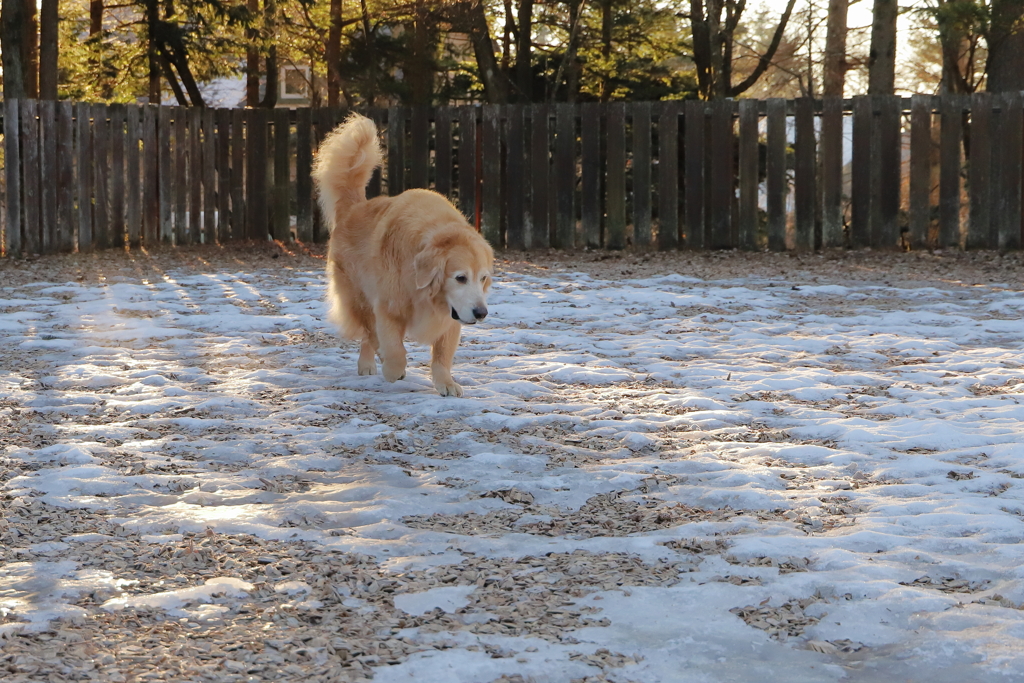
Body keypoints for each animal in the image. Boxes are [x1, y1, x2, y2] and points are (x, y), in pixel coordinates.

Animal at [313, 114, 493, 397]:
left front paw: (446, 382)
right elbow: (393, 347)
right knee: (369, 333)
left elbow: (442, 354)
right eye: (460, 278)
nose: (481, 313)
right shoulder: (388, 306)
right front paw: (393, 368)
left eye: (483, 278)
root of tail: (355, 207)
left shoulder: (451, 316)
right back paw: (371, 361)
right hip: (358, 296)